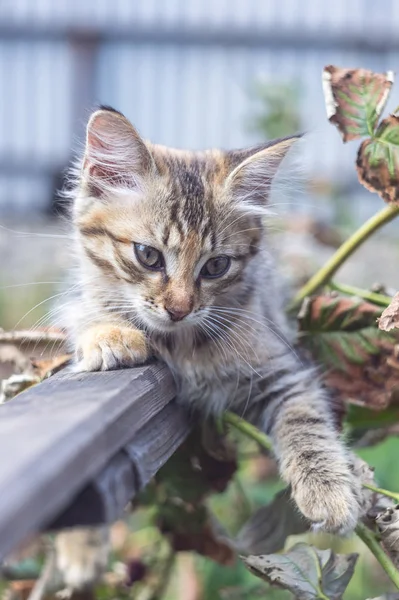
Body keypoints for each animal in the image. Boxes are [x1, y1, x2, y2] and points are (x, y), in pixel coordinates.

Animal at [69, 104, 362, 536]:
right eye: (148, 256)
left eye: (216, 266)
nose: (179, 309)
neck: (181, 343)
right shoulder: (85, 296)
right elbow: (87, 313)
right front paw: (111, 335)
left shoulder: (283, 368)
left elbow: (306, 423)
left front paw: (329, 493)